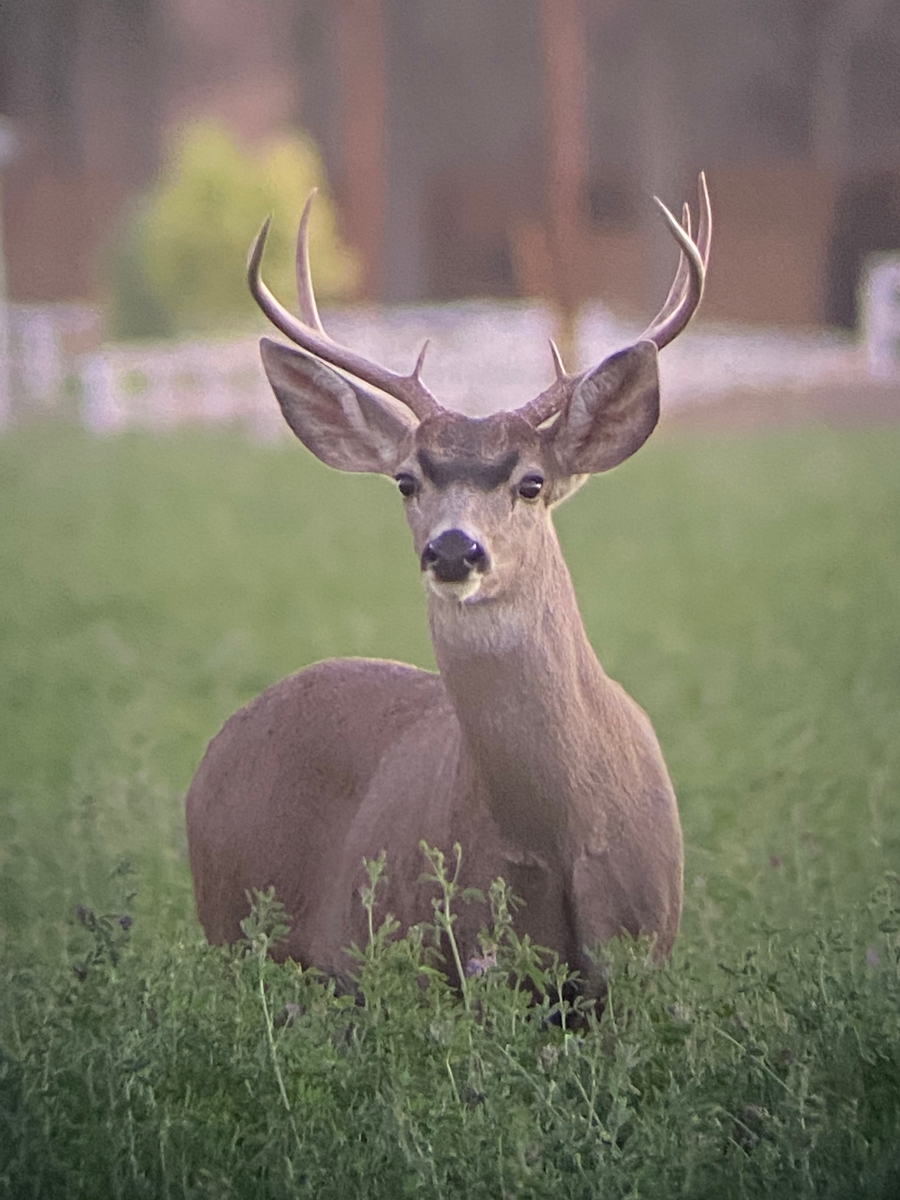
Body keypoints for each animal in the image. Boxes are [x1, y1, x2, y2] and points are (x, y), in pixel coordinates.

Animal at [184, 174, 710, 998]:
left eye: (532, 483)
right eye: (406, 480)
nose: (455, 549)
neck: (559, 830)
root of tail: (216, 748)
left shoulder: (640, 953)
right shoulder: (470, 954)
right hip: (240, 929)